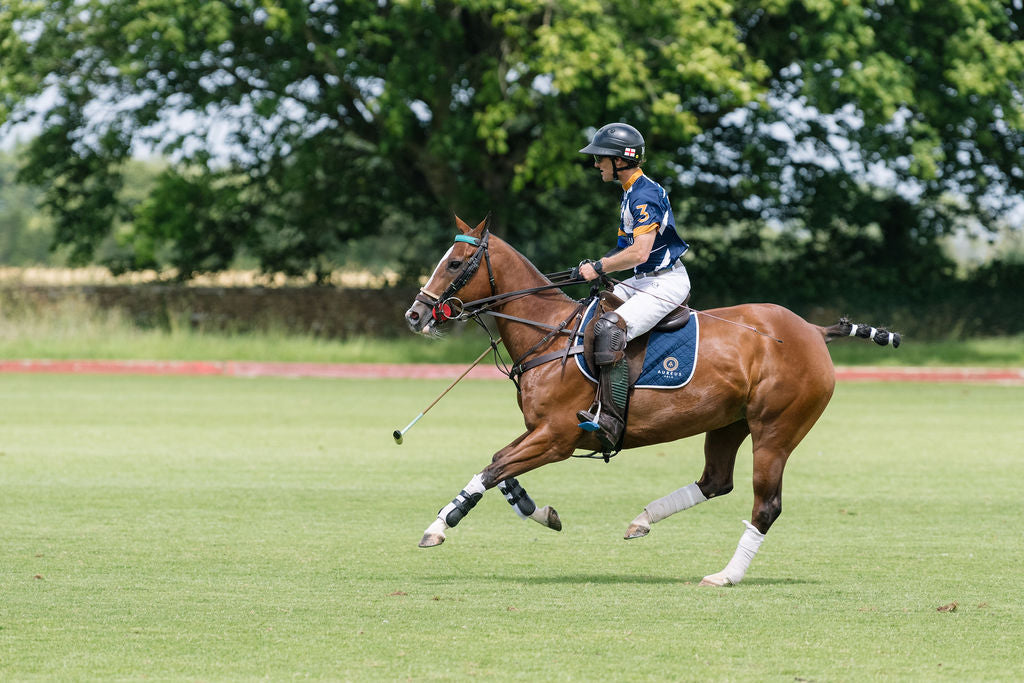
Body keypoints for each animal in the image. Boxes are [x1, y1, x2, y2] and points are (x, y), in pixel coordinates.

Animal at [403, 216, 901, 585]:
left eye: (455, 263)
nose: (415, 314)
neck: (550, 333)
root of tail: (814, 331)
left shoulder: (558, 437)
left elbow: (491, 470)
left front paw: (436, 528)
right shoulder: (539, 432)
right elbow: (500, 467)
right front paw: (541, 512)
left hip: (776, 429)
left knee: (766, 505)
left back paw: (725, 576)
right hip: (729, 423)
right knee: (715, 481)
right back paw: (642, 520)